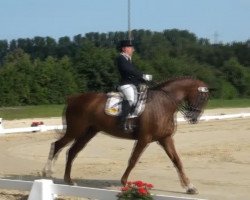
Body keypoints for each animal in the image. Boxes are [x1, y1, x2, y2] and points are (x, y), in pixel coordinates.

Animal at [42, 76, 209, 194]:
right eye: (202, 97)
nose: (193, 118)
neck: (163, 104)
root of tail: (73, 98)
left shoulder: (165, 139)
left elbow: (177, 161)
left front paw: (190, 187)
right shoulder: (144, 138)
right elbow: (133, 160)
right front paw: (124, 182)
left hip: (88, 132)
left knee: (72, 151)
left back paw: (69, 180)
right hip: (75, 130)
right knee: (57, 145)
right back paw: (47, 173)